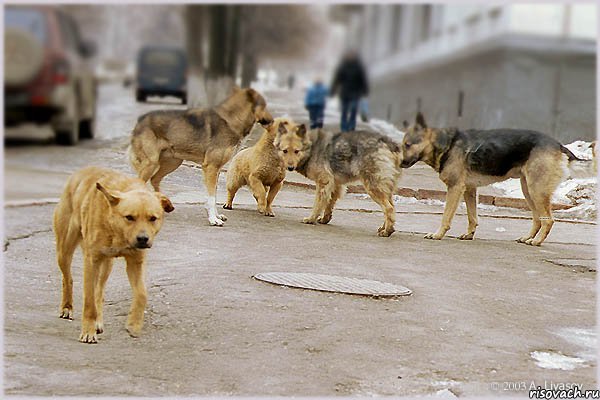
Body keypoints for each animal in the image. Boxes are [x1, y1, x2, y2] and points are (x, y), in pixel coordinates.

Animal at [51, 167, 175, 342]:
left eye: (153, 218)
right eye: (129, 217)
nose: (143, 239)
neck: (117, 231)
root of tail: (84, 170)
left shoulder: (135, 263)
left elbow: (142, 294)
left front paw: (134, 324)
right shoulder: (91, 261)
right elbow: (88, 302)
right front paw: (88, 331)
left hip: (106, 266)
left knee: (99, 291)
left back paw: (98, 320)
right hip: (64, 250)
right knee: (68, 278)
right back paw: (67, 307)